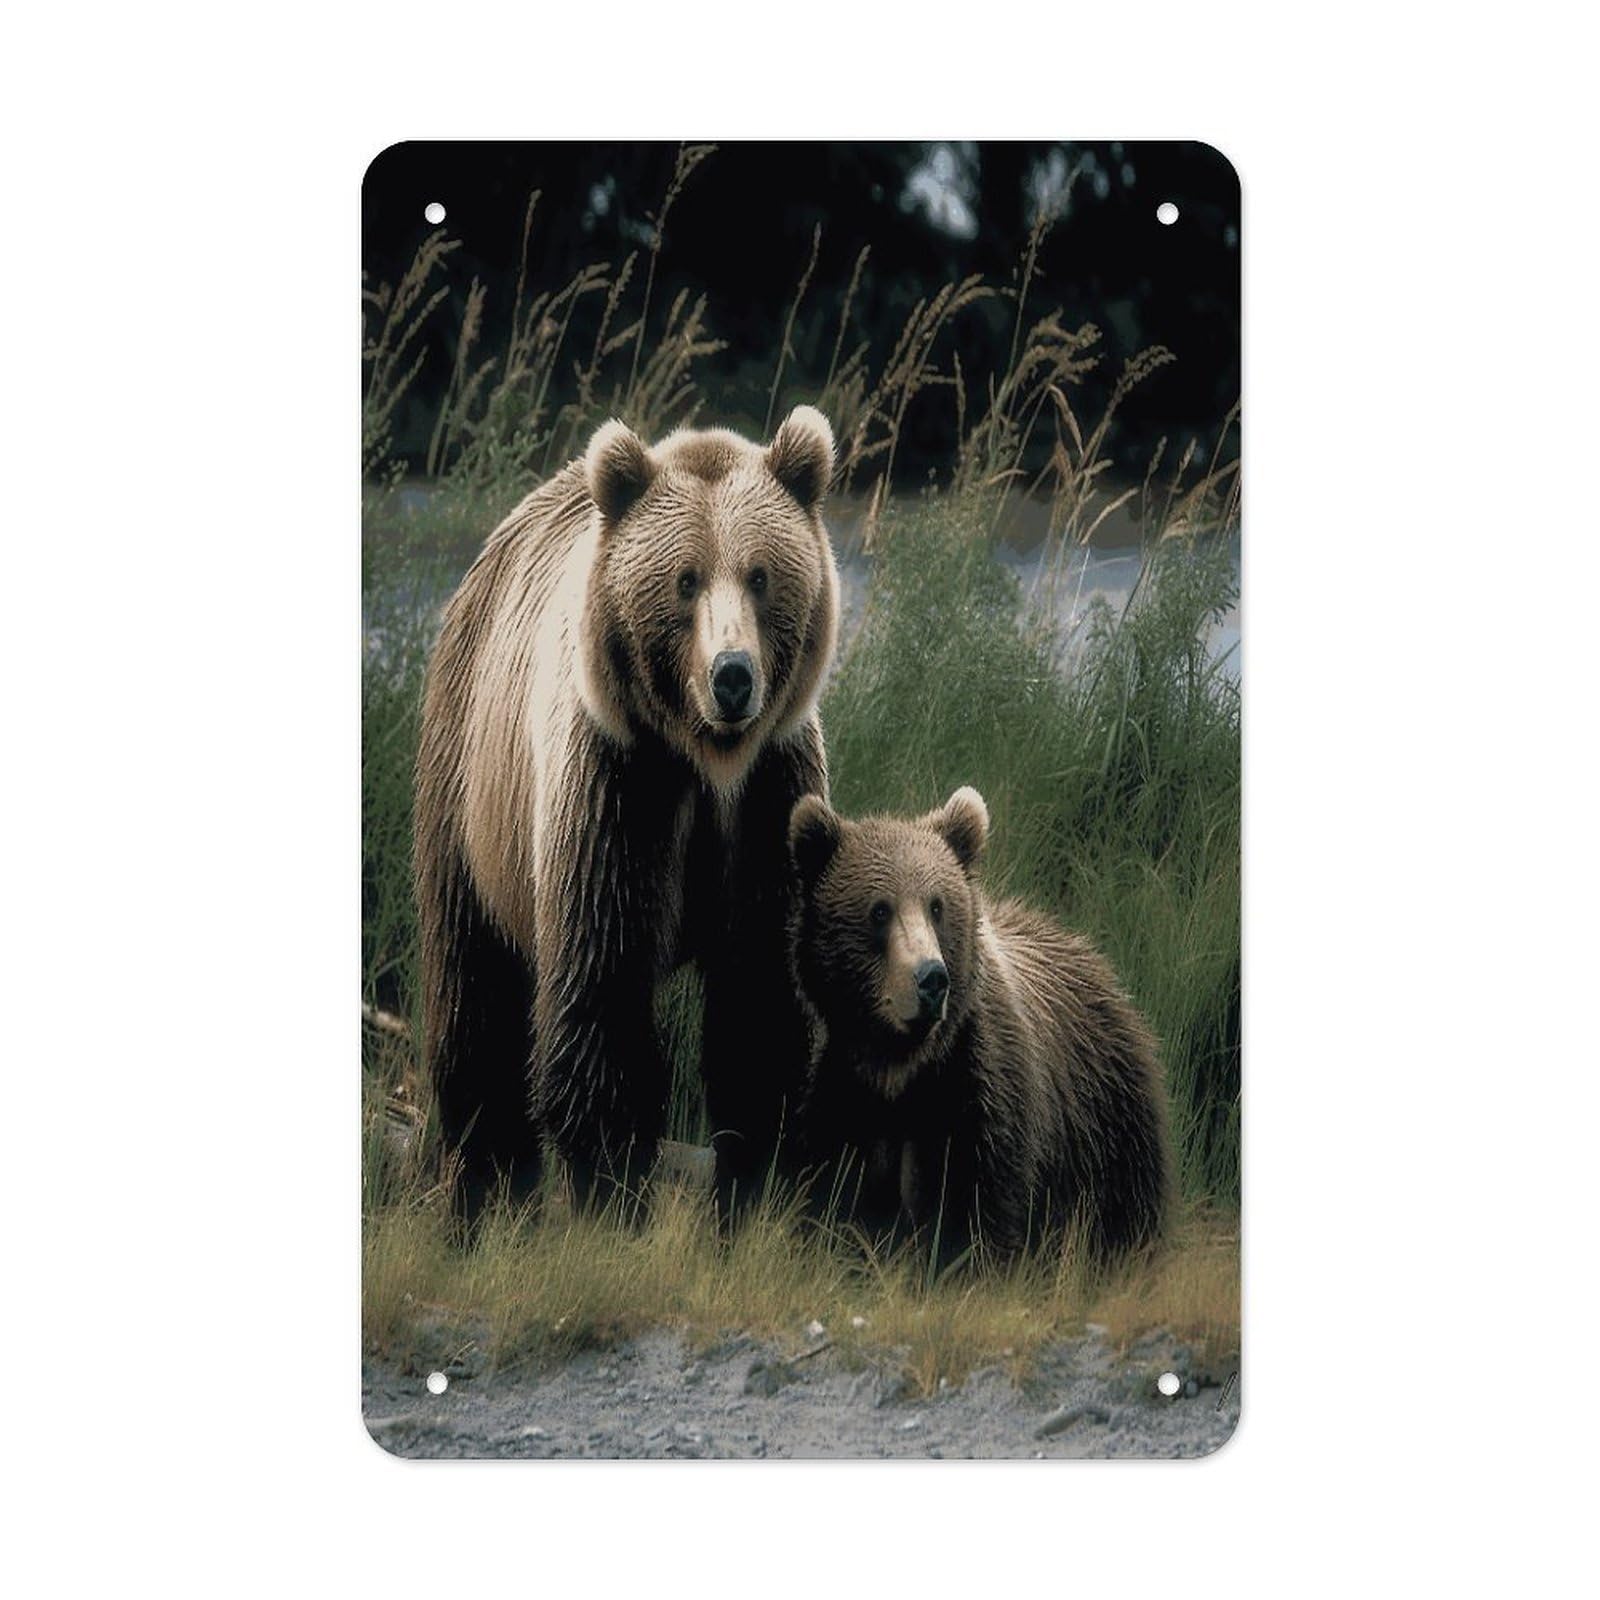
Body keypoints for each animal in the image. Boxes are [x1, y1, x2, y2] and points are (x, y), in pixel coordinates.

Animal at [414, 407, 840, 1223]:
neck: (705, 762)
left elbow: (763, 998)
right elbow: (601, 990)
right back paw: (483, 1188)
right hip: (472, 788)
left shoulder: (769, 798)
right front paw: (612, 1192)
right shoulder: (619, 781)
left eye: (761, 575)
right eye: (685, 580)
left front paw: (753, 1193)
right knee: (475, 997)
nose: (732, 677)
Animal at [786, 787, 1171, 1266]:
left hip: (1108, 1130)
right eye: (879, 910)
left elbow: (977, 1214)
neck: (901, 1070)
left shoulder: (978, 1093)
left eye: (936, 906)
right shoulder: (846, 1093)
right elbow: (834, 1200)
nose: (931, 978)